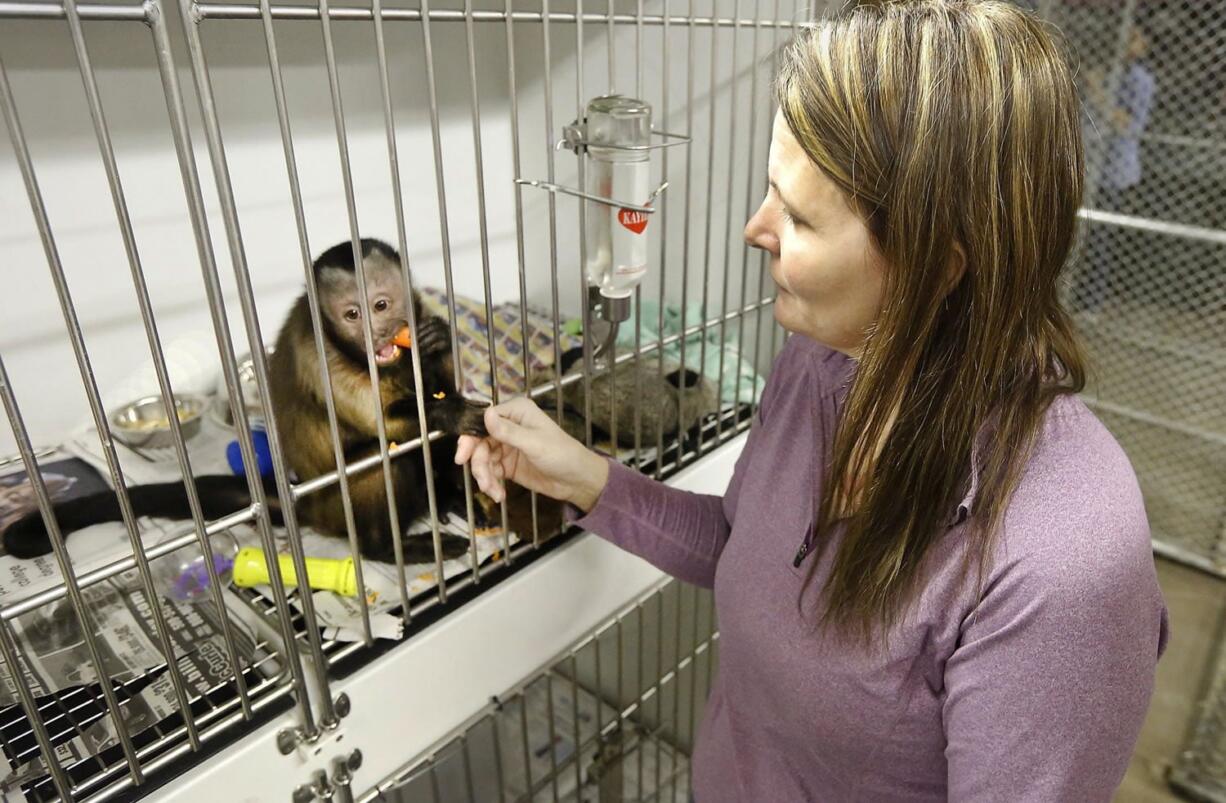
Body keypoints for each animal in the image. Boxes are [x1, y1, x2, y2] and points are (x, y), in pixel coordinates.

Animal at [2, 239, 561, 566]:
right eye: (351, 314)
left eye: (382, 305)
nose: (378, 334)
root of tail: (302, 504)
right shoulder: (321, 357)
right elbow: (390, 424)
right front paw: (449, 411)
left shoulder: (416, 309)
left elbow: (437, 381)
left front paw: (437, 344)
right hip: (337, 507)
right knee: (378, 464)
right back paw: (393, 547)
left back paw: (451, 499)